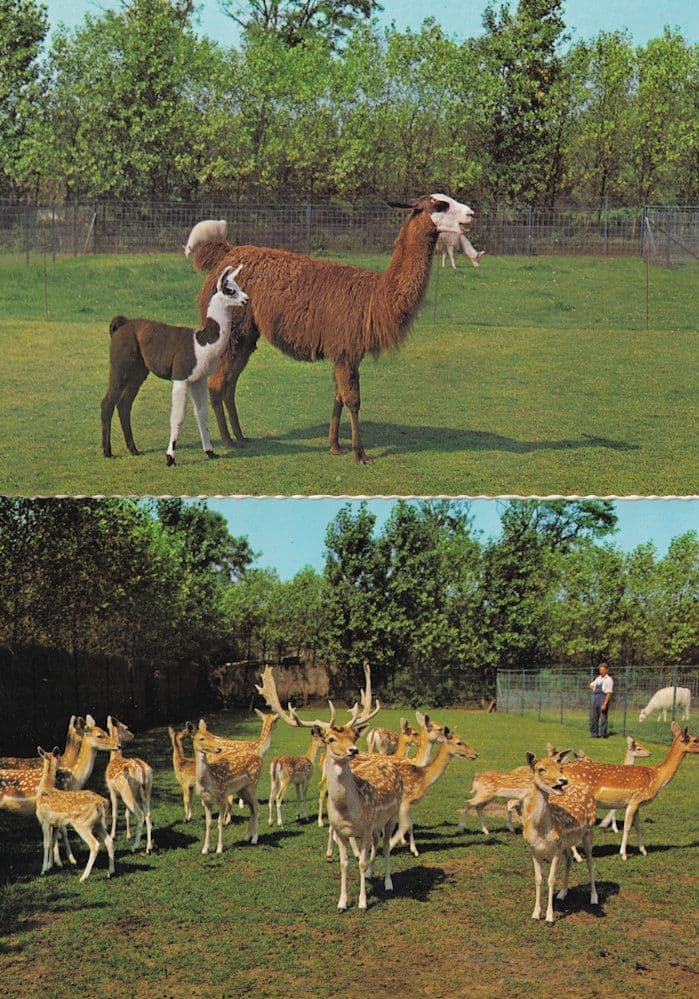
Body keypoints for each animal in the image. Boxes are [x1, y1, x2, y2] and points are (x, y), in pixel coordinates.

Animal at [101, 264, 248, 466]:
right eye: (230, 290)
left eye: (239, 286)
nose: (246, 299)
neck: (203, 344)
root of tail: (122, 324)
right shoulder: (180, 377)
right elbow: (177, 418)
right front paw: (170, 457)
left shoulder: (198, 380)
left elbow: (201, 414)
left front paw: (210, 451)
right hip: (120, 366)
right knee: (107, 403)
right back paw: (107, 452)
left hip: (138, 371)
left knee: (124, 405)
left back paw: (134, 450)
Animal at [188, 193, 476, 464]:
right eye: (440, 205)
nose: (471, 215)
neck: (373, 298)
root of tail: (226, 253)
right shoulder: (347, 349)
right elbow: (353, 400)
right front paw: (360, 454)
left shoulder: (346, 352)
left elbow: (338, 396)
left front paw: (336, 446)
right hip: (233, 331)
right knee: (217, 383)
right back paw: (227, 440)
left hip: (247, 334)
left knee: (230, 383)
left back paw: (240, 436)